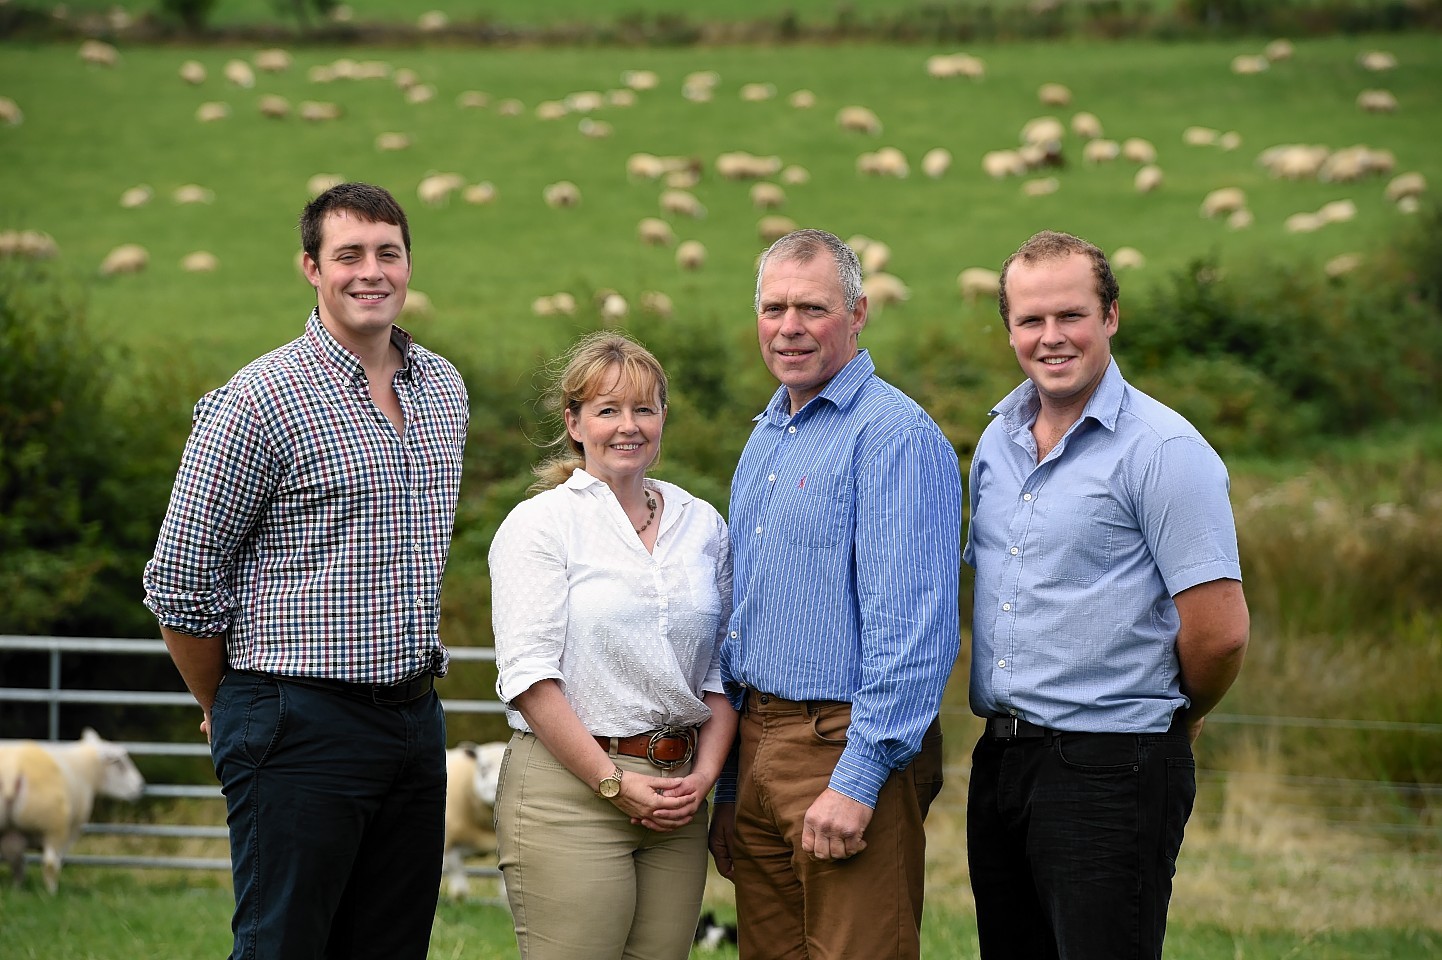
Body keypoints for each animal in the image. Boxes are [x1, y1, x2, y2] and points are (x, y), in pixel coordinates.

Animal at [0, 729, 146, 893]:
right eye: (118, 762)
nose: (141, 787)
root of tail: (11, 771)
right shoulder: (72, 828)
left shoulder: (13, 834)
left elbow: (17, 862)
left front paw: (17, 890)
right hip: (54, 825)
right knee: (50, 863)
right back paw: (52, 894)